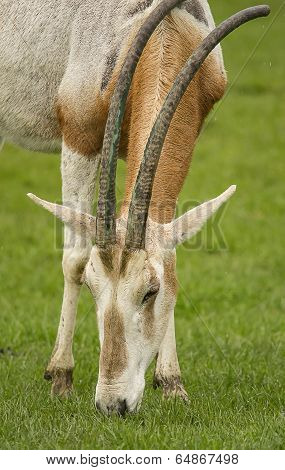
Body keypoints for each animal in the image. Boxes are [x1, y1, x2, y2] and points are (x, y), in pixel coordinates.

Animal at [1, 2, 268, 414]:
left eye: (151, 291)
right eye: (92, 287)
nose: (113, 404)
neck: (166, 27)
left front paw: (172, 383)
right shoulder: (80, 137)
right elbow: (74, 258)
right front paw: (60, 376)